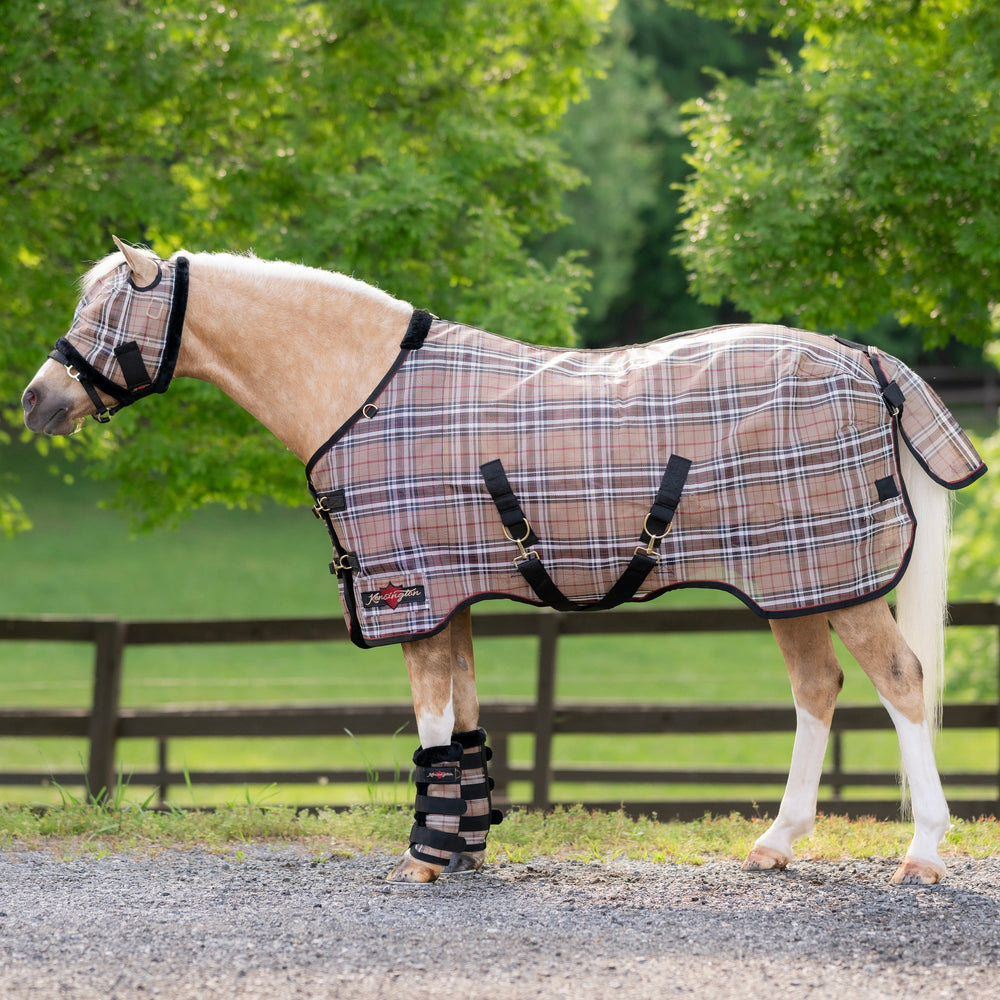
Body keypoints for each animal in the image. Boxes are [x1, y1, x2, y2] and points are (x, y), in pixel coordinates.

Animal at [21, 238, 985, 886]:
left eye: (104, 317)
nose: (36, 400)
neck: (363, 392)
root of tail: (863, 359)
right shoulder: (450, 597)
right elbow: (466, 724)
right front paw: (465, 847)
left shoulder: (410, 595)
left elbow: (431, 726)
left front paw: (424, 858)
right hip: (794, 583)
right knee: (817, 690)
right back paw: (776, 843)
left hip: (836, 583)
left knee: (901, 682)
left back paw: (923, 852)